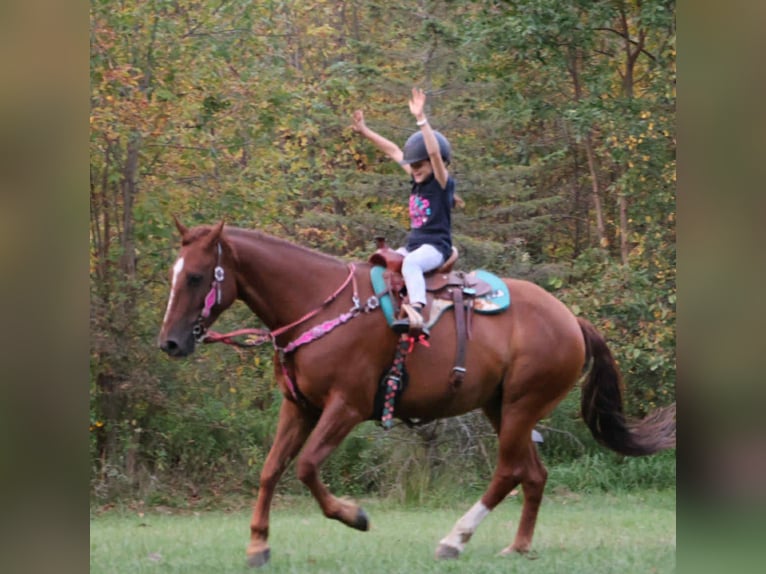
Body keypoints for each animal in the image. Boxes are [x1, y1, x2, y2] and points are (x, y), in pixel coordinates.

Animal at [158, 219, 676, 568]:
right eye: (174, 274)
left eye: (197, 276)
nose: (170, 342)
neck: (318, 305)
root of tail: (571, 319)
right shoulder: (299, 407)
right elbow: (270, 471)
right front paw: (258, 543)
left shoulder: (345, 407)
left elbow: (305, 467)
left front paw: (354, 515)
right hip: (502, 407)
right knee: (533, 473)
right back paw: (518, 545)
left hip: (521, 407)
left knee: (509, 471)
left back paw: (455, 539)